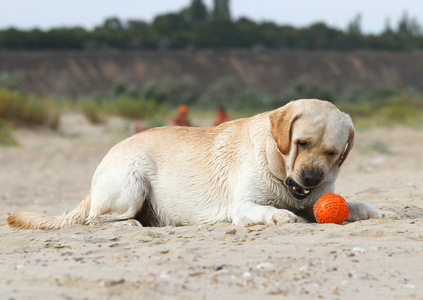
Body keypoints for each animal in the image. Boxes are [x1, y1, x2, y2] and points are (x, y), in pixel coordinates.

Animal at [7, 99, 398, 230]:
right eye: (301, 143)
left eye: (333, 153)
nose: (311, 178)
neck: (277, 164)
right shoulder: (242, 206)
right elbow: (265, 210)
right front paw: (281, 215)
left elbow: (358, 203)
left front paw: (381, 211)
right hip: (131, 183)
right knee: (97, 219)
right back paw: (133, 224)